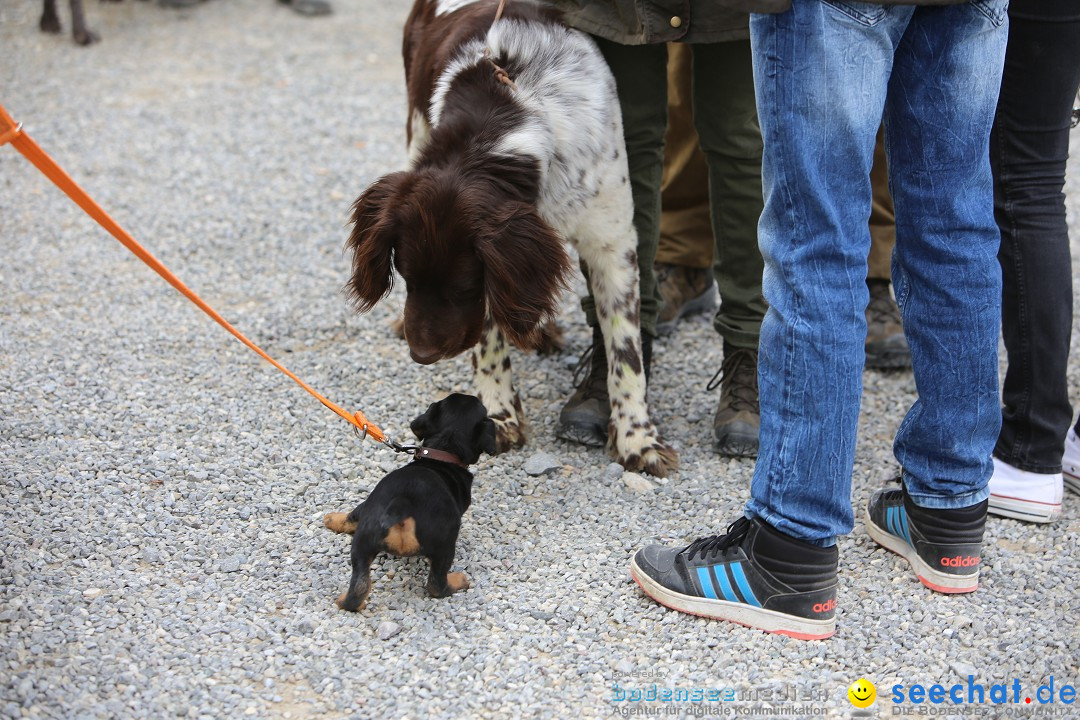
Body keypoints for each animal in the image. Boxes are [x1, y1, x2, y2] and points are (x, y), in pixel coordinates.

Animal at [321, 395, 494, 613]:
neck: (443, 450)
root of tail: (401, 506)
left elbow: (350, 516)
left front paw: (332, 519)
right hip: (445, 546)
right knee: (436, 585)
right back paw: (458, 581)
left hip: (363, 540)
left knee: (359, 586)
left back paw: (345, 600)